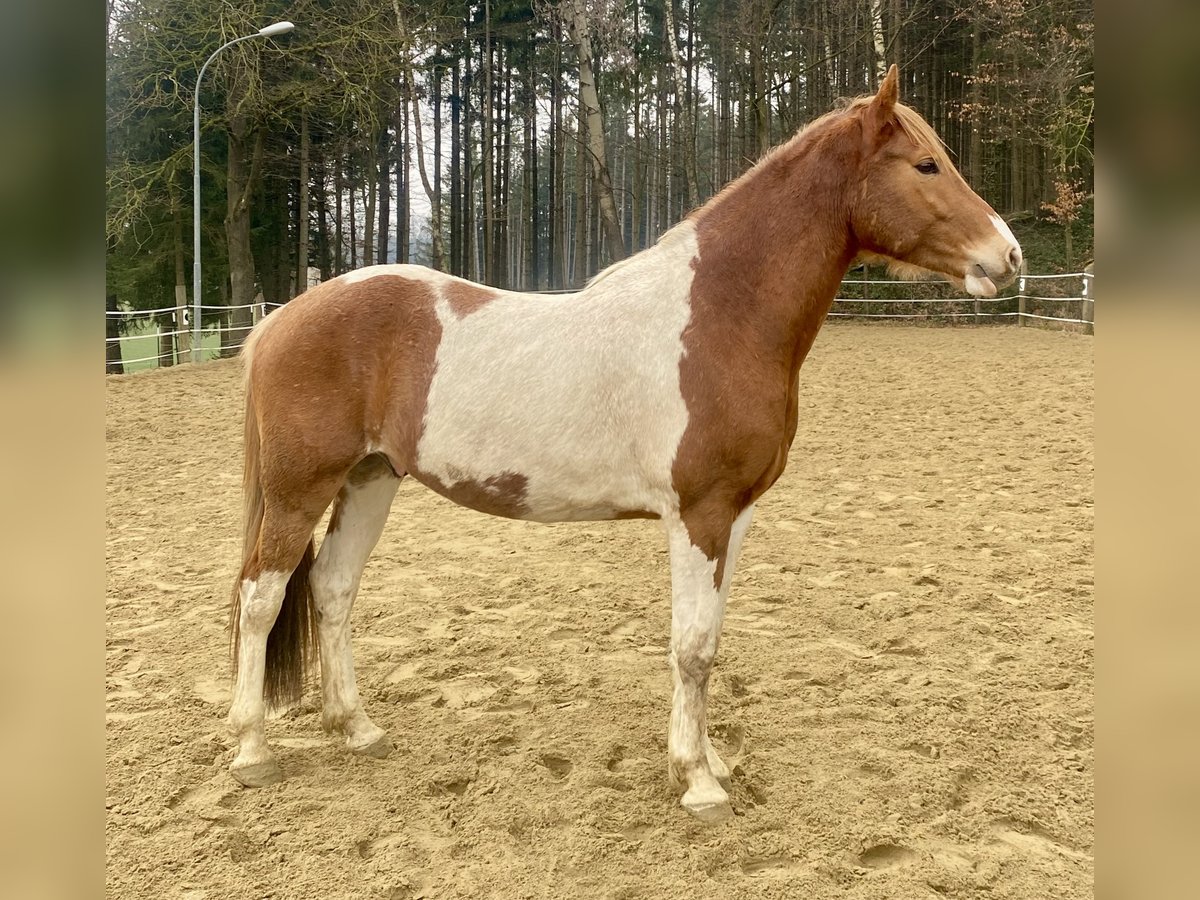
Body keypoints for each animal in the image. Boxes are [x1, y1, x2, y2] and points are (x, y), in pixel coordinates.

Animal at [226, 66, 1022, 820]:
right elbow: (693, 647)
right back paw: (252, 749)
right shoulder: (700, 514)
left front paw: (710, 759)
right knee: (261, 598)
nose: (1007, 256)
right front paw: (698, 783)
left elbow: (708, 639)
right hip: (300, 491)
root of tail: (283, 319)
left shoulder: (735, 516)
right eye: (925, 165)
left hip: (370, 479)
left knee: (332, 588)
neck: (719, 315)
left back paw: (357, 728)